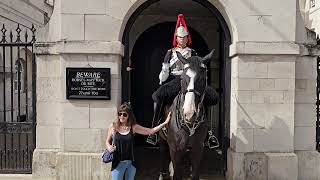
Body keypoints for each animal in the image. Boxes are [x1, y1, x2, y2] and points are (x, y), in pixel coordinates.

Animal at [159, 50, 218, 180]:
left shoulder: (197, 149)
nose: (189, 114)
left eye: (203, 79)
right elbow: (177, 174)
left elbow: (194, 174)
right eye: (182, 78)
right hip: (162, 139)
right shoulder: (175, 149)